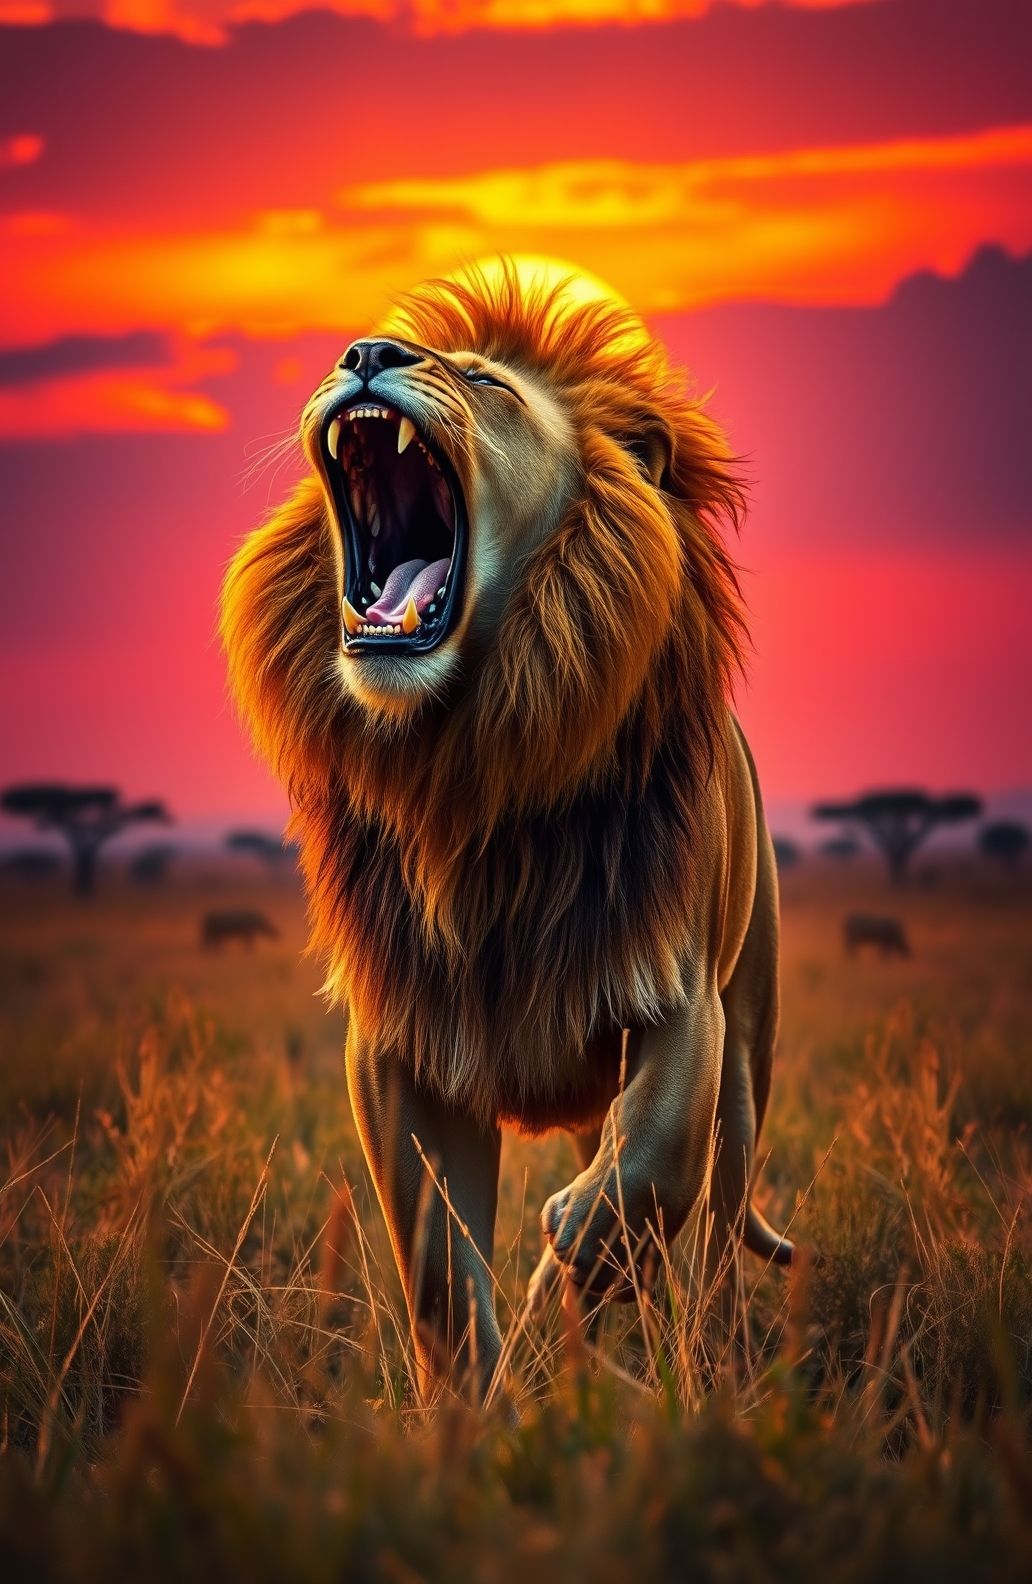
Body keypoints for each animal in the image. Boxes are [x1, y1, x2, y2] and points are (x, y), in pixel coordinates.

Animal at [221, 260, 794, 1402]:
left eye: (484, 382)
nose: (364, 354)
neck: (475, 766)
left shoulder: (682, 993)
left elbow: (655, 1158)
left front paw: (575, 1256)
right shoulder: (400, 1043)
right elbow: (440, 1266)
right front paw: (483, 1406)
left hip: (749, 1050)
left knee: (715, 1228)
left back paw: (698, 1354)